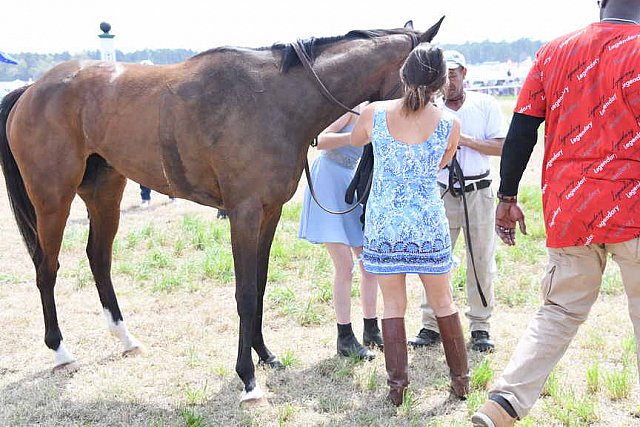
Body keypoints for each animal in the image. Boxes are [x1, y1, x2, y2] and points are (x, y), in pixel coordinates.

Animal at [0, 18, 440, 402]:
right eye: (430, 81)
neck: (274, 101)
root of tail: (33, 88)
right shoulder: (243, 214)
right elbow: (244, 292)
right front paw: (247, 379)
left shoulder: (269, 213)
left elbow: (259, 286)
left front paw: (265, 355)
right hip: (52, 199)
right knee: (47, 268)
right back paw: (60, 350)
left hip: (105, 193)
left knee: (98, 258)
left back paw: (125, 338)